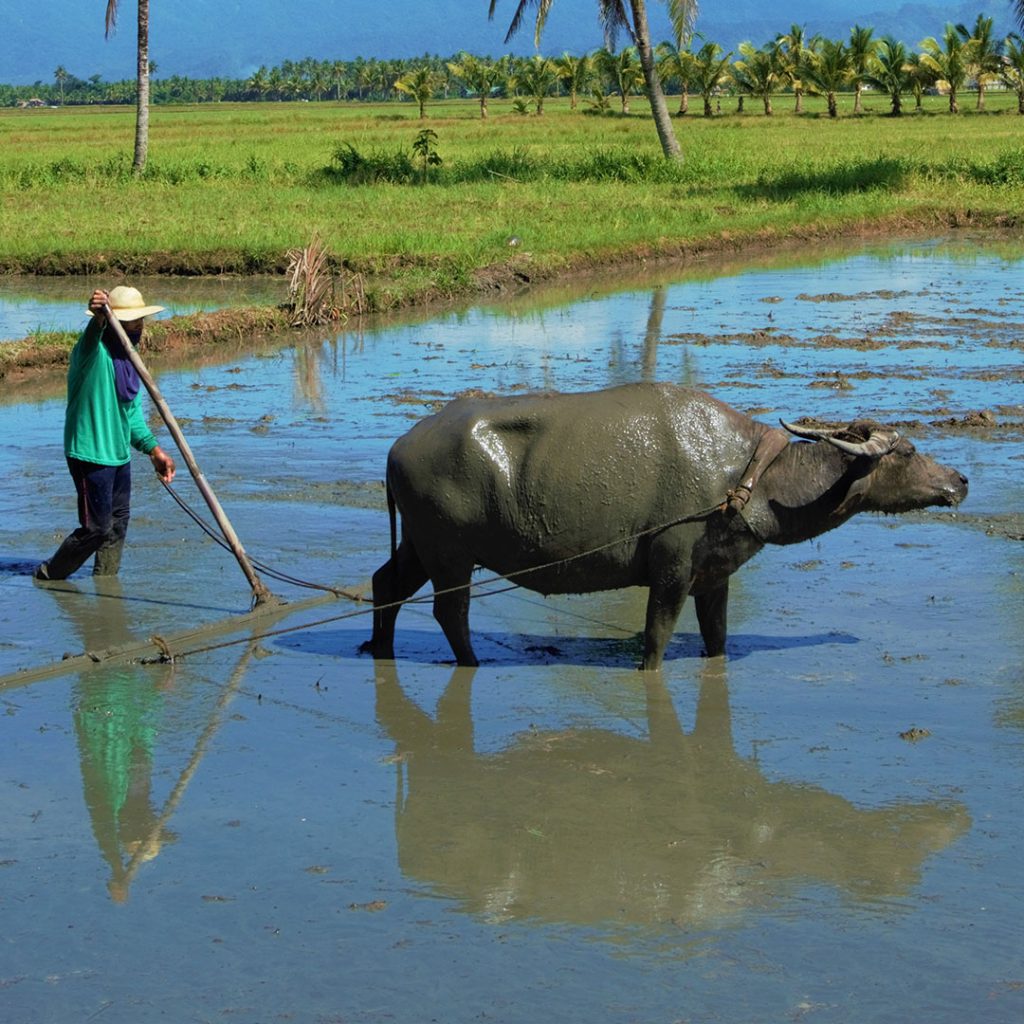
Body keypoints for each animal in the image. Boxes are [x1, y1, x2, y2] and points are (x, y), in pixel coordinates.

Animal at [366, 380, 966, 667]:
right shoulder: (670, 569)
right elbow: (654, 641)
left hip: (421, 545)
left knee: (386, 584)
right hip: (449, 554)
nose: (960, 481)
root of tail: (398, 446)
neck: (748, 477)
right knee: (450, 612)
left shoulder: (715, 576)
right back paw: (469, 662)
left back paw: (380, 649)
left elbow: (717, 639)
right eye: (908, 451)